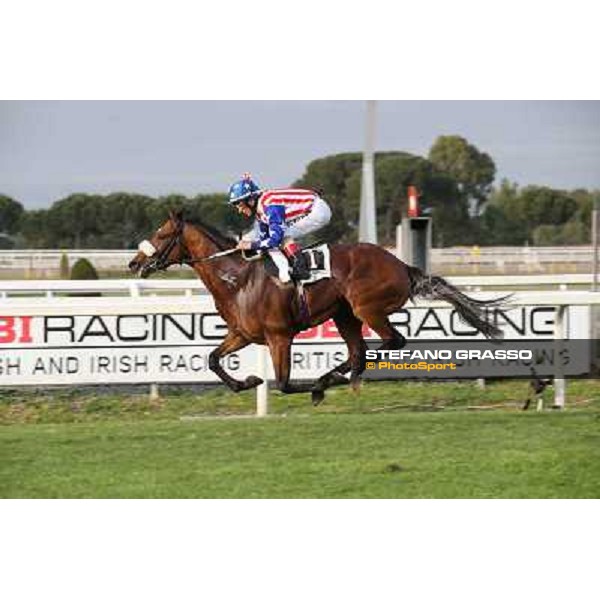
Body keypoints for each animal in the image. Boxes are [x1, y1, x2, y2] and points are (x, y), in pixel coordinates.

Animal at [129, 211, 504, 404]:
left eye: (161, 234)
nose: (134, 263)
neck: (237, 278)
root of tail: (402, 266)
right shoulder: (243, 334)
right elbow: (211, 359)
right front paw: (247, 381)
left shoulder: (280, 336)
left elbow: (283, 383)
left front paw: (313, 389)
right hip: (345, 315)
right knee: (359, 351)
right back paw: (338, 377)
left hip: (366, 308)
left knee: (390, 342)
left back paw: (332, 380)